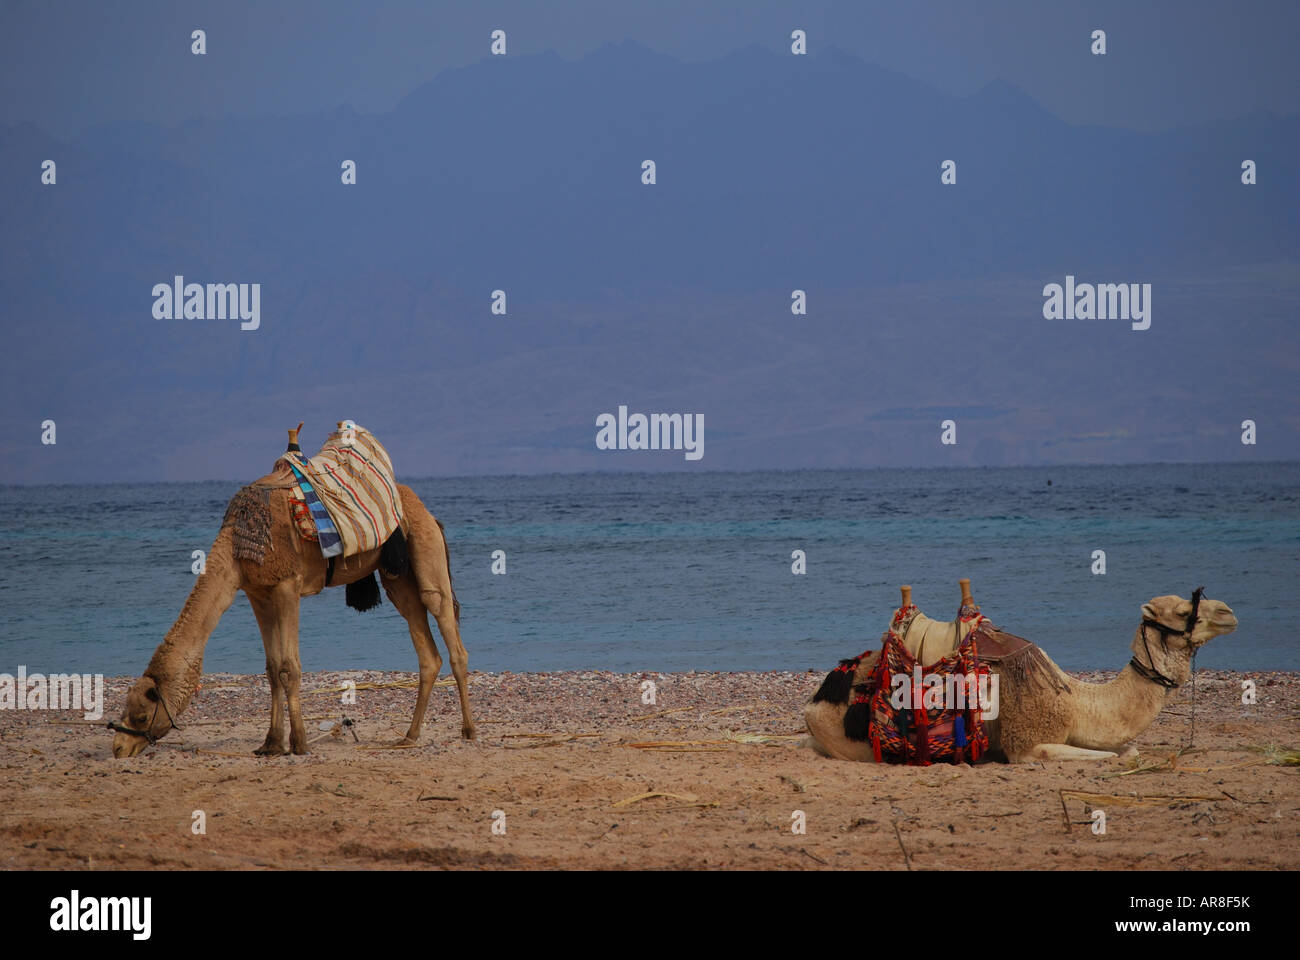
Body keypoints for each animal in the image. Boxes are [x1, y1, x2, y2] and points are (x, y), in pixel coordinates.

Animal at [113, 426, 473, 754]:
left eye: (142, 715)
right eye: (128, 710)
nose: (118, 747)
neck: (237, 547)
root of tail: (427, 512)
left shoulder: (287, 585)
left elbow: (290, 667)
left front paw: (299, 743)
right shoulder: (257, 593)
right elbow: (272, 669)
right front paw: (271, 743)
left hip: (425, 549)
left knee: (446, 625)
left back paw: (468, 730)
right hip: (397, 578)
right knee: (425, 645)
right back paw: (409, 736)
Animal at [800, 580, 1237, 759]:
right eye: (1182, 610)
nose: (1228, 612)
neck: (1076, 701)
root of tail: (814, 701)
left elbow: (1127, 748)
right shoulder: (1029, 743)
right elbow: (1110, 756)